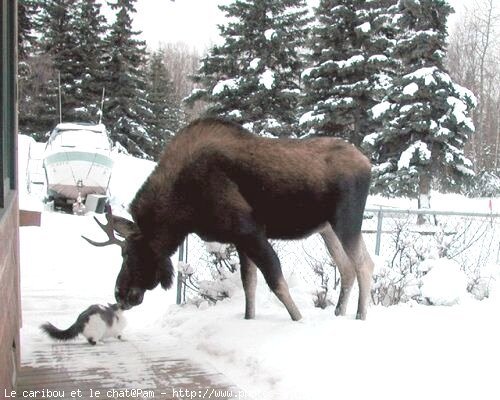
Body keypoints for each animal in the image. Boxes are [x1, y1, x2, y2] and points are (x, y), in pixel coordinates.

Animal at [85, 118, 376, 322]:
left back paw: (360, 316)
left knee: (364, 264)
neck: (182, 211)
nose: (120, 294)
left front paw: (299, 320)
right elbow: (249, 285)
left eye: (130, 254)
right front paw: (249, 318)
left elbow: (276, 281)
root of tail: (368, 163)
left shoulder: (250, 230)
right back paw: (339, 313)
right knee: (347, 268)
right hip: (327, 229)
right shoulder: (240, 239)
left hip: (346, 221)